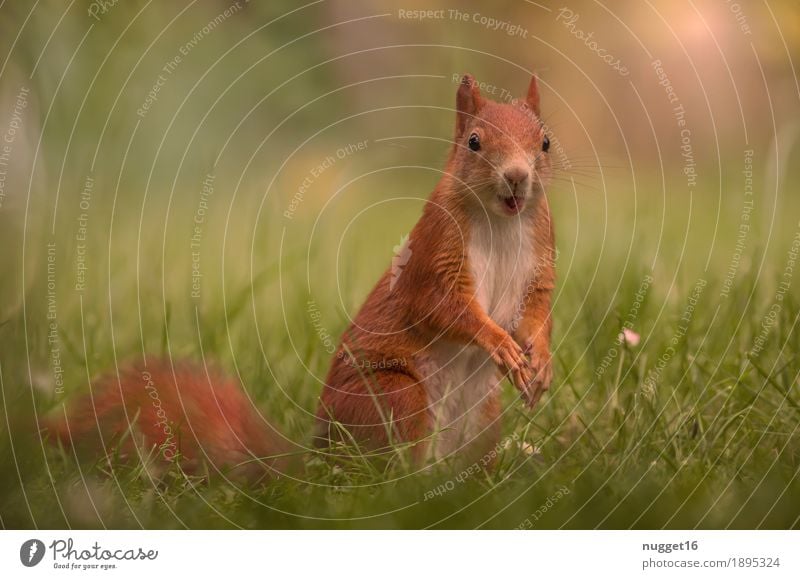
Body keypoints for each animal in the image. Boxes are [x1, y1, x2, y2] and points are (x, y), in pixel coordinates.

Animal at [47, 72, 552, 480]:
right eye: (474, 142)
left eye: (545, 142)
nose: (516, 177)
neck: (500, 222)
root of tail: (319, 462)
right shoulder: (433, 256)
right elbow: (443, 306)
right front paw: (498, 342)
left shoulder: (539, 261)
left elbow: (537, 312)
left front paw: (540, 360)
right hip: (396, 397)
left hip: (483, 419)